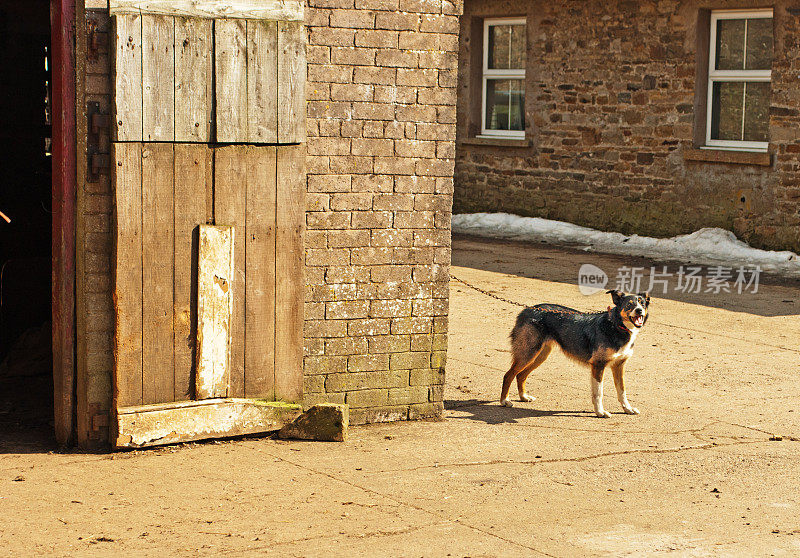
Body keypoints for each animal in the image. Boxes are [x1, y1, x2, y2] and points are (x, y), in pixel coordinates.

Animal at [500, 290, 648, 418]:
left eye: (642, 303)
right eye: (629, 304)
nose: (639, 310)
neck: (616, 325)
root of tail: (528, 309)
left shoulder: (619, 366)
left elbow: (622, 391)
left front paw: (627, 409)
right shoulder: (598, 365)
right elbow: (599, 393)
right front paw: (600, 412)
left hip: (539, 355)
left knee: (521, 375)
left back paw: (524, 397)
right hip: (528, 353)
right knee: (508, 375)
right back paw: (504, 401)